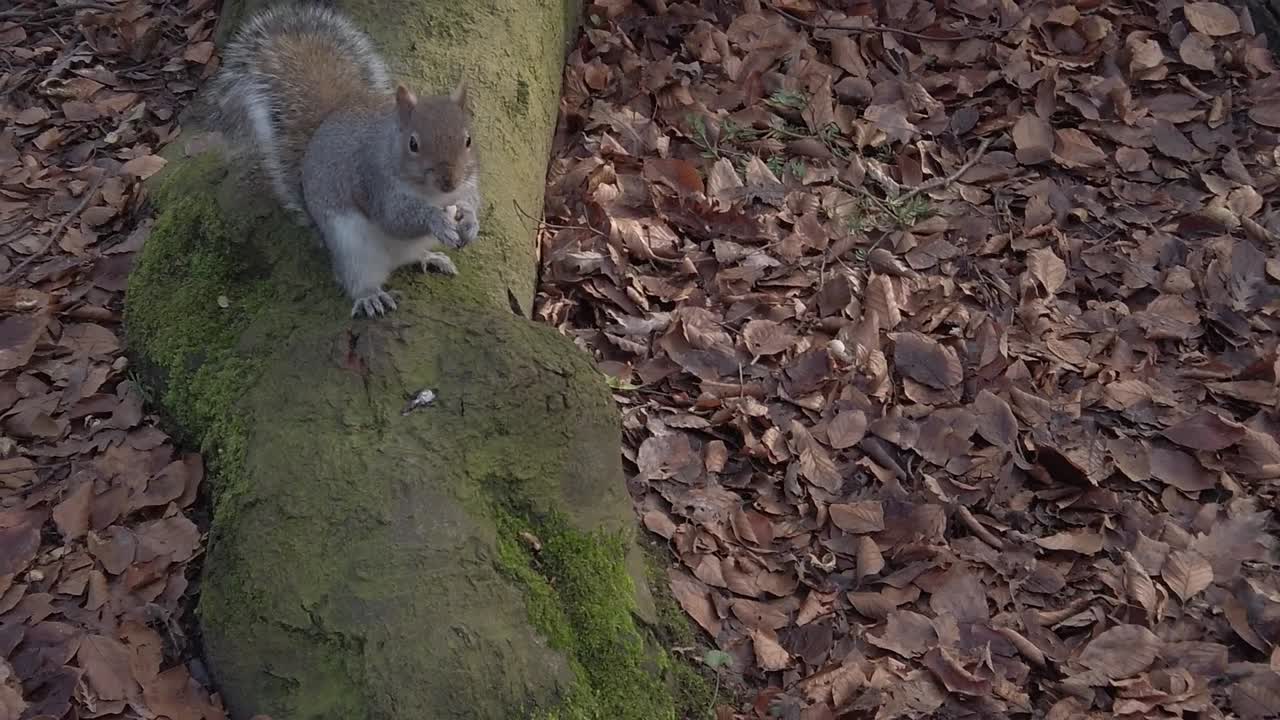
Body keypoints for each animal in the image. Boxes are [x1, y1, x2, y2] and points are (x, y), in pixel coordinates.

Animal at [206, 4, 481, 318]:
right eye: (413, 144)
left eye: (468, 139)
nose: (449, 182)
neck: (432, 193)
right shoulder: (375, 184)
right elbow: (395, 218)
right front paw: (436, 219)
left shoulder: (469, 182)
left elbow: (472, 200)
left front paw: (470, 221)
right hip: (352, 249)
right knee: (358, 279)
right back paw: (371, 297)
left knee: (411, 255)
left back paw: (431, 257)